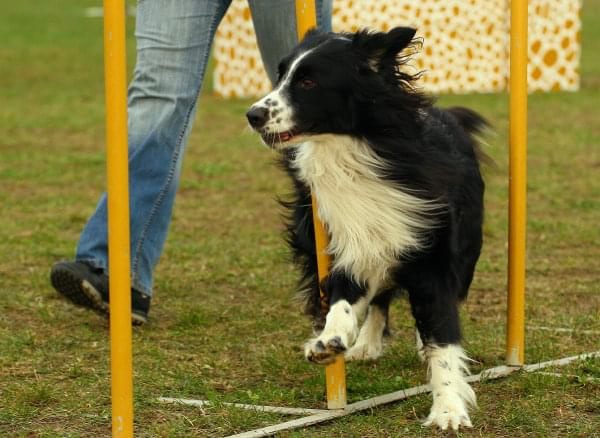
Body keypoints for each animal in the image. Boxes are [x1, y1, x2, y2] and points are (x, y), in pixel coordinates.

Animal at [247, 28, 488, 432]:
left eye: (308, 82)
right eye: (280, 76)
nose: (253, 114)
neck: (353, 152)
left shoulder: (430, 246)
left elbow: (443, 335)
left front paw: (448, 408)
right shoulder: (344, 238)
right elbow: (344, 297)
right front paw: (329, 340)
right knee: (379, 297)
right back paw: (364, 342)